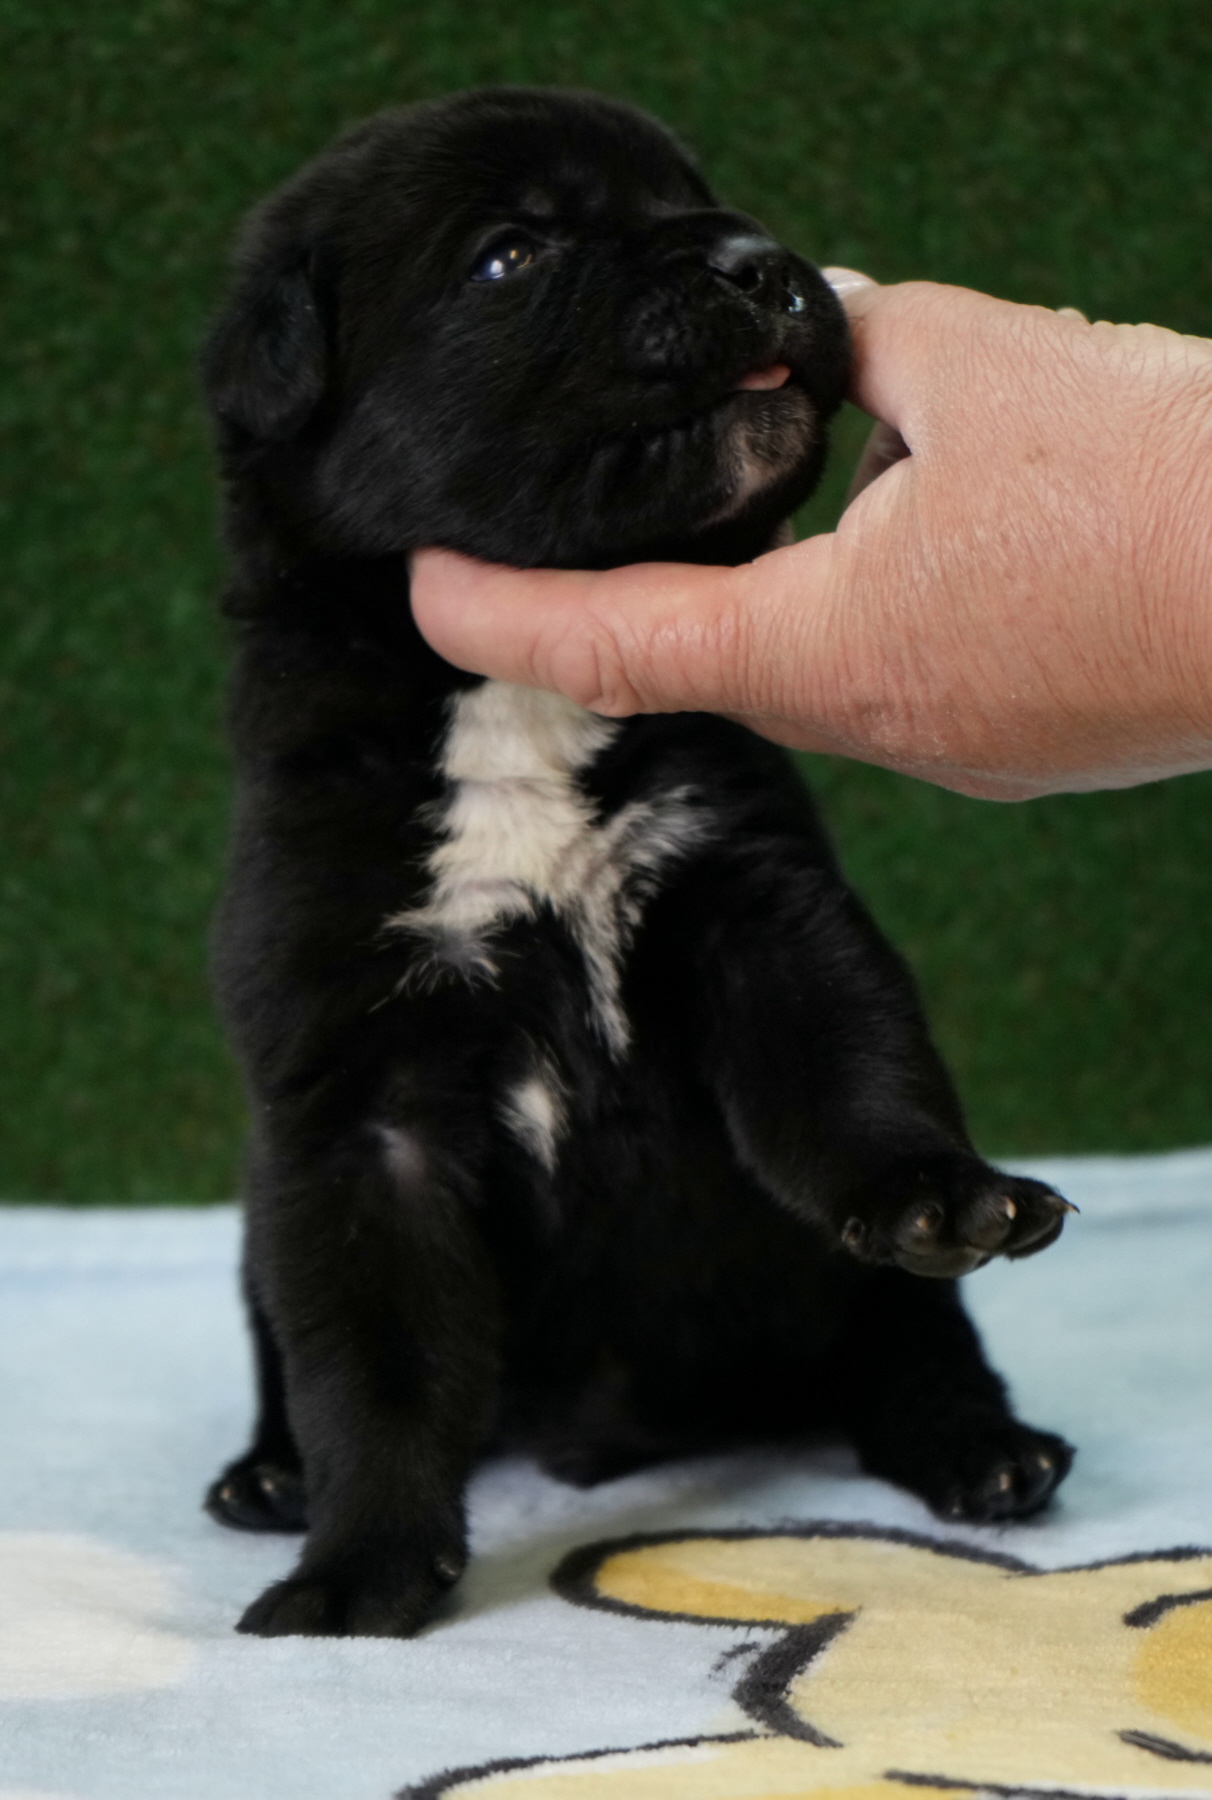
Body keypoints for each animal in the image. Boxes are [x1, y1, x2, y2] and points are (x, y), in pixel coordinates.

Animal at [201, 86, 1074, 1639]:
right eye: (510, 253)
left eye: (693, 192)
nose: (761, 260)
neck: (520, 710)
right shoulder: (355, 1104)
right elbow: (370, 1360)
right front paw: (359, 1568)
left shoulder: (757, 904)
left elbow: (850, 1078)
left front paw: (936, 1189)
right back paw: (268, 1478)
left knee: (910, 1332)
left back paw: (984, 1447)